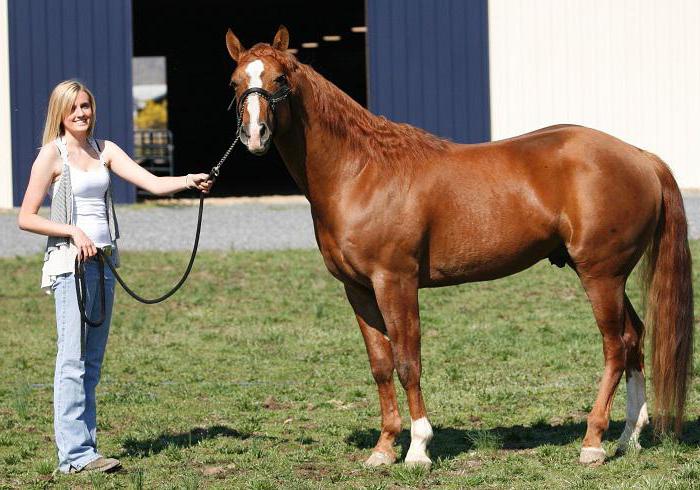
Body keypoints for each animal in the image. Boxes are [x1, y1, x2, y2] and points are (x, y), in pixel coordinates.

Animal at [226, 27, 696, 468]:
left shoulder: (395, 282)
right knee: (634, 336)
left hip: (601, 275)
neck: (361, 171)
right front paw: (383, 449)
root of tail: (640, 157)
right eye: (235, 82)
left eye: (281, 79)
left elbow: (407, 360)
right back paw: (628, 438)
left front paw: (418, 449)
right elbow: (380, 365)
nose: (254, 134)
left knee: (615, 345)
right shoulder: (357, 289)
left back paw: (593, 442)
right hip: (608, 276)